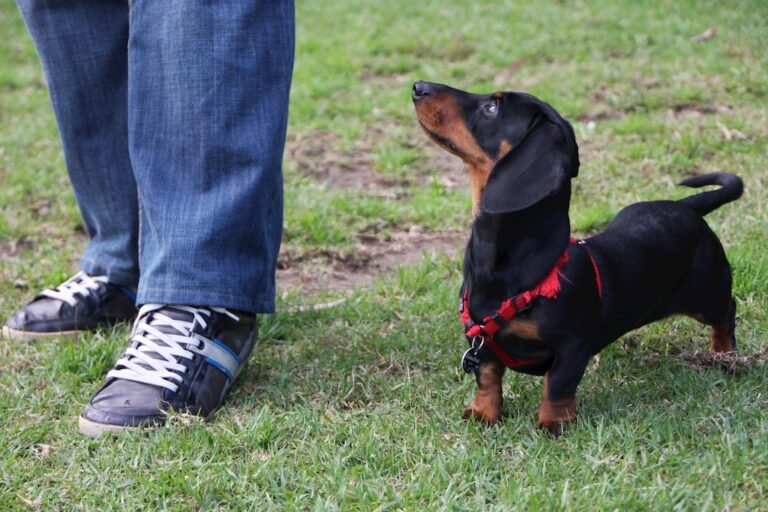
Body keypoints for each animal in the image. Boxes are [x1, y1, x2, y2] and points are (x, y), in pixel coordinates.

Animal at [414, 80, 744, 436]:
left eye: (492, 107)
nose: (418, 86)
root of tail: (687, 207)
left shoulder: (572, 346)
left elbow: (557, 385)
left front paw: (553, 424)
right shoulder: (481, 341)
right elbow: (487, 377)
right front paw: (482, 413)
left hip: (707, 295)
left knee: (727, 312)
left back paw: (724, 354)